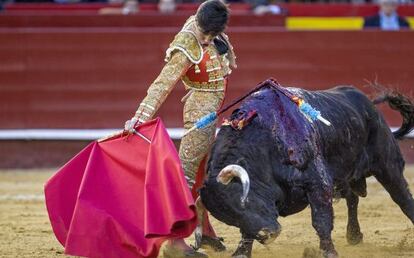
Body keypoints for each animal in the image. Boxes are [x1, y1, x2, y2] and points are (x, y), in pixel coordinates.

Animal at [199, 80, 412, 256]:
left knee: (402, 198)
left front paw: (328, 252)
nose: (268, 234)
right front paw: (241, 252)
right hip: (345, 176)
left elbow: (321, 220)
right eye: (230, 218)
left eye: (245, 201)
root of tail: (368, 104)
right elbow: (247, 231)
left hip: (387, 165)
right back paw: (354, 235)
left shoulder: (318, 182)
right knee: (352, 198)